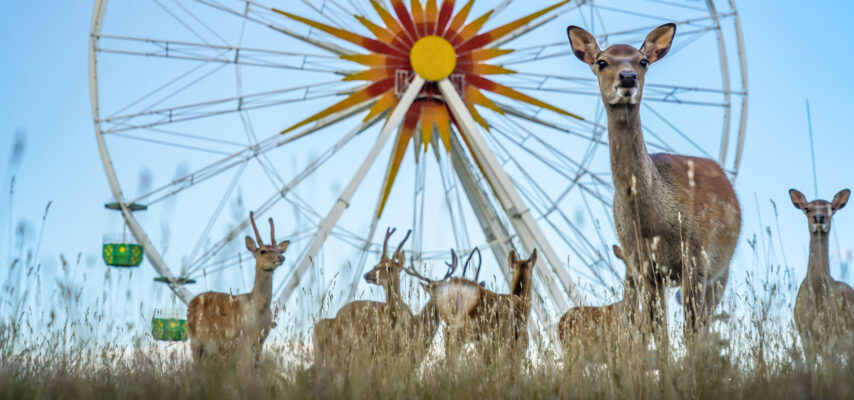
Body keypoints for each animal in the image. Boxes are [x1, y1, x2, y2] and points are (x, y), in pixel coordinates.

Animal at [186, 211, 290, 368]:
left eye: (279, 249)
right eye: (263, 251)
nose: (281, 257)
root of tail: (191, 303)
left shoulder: (261, 339)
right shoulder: (242, 340)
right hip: (196, 340)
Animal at [568, 24, 744, 354]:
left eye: (643, 61)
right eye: (601, 61)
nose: (627, 77)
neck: (653, 224)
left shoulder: (695, 259)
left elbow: (689, 331)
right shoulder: (645, 268)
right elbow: (658, 332)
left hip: (721, 271)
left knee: (704, 324)